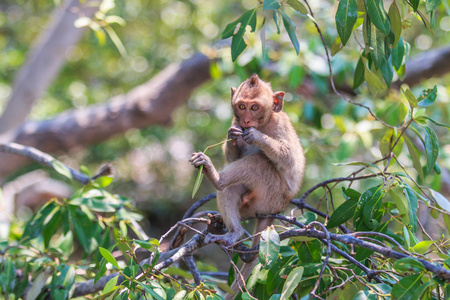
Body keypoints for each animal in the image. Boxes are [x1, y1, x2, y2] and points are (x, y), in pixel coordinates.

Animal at [188, 74, 304, 247]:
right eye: (242, 107)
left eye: (254, 108)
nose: (246, 121)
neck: (263, 123)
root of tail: (276, 210)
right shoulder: (235, 121)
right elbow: (233, 157)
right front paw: (232, 135)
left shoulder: (279, 124)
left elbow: (291, 160)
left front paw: (256, 136)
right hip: (252, 206)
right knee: (230, 189)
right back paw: (234, 232)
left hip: (272, 197)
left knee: (258, 162)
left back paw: (217, 178)